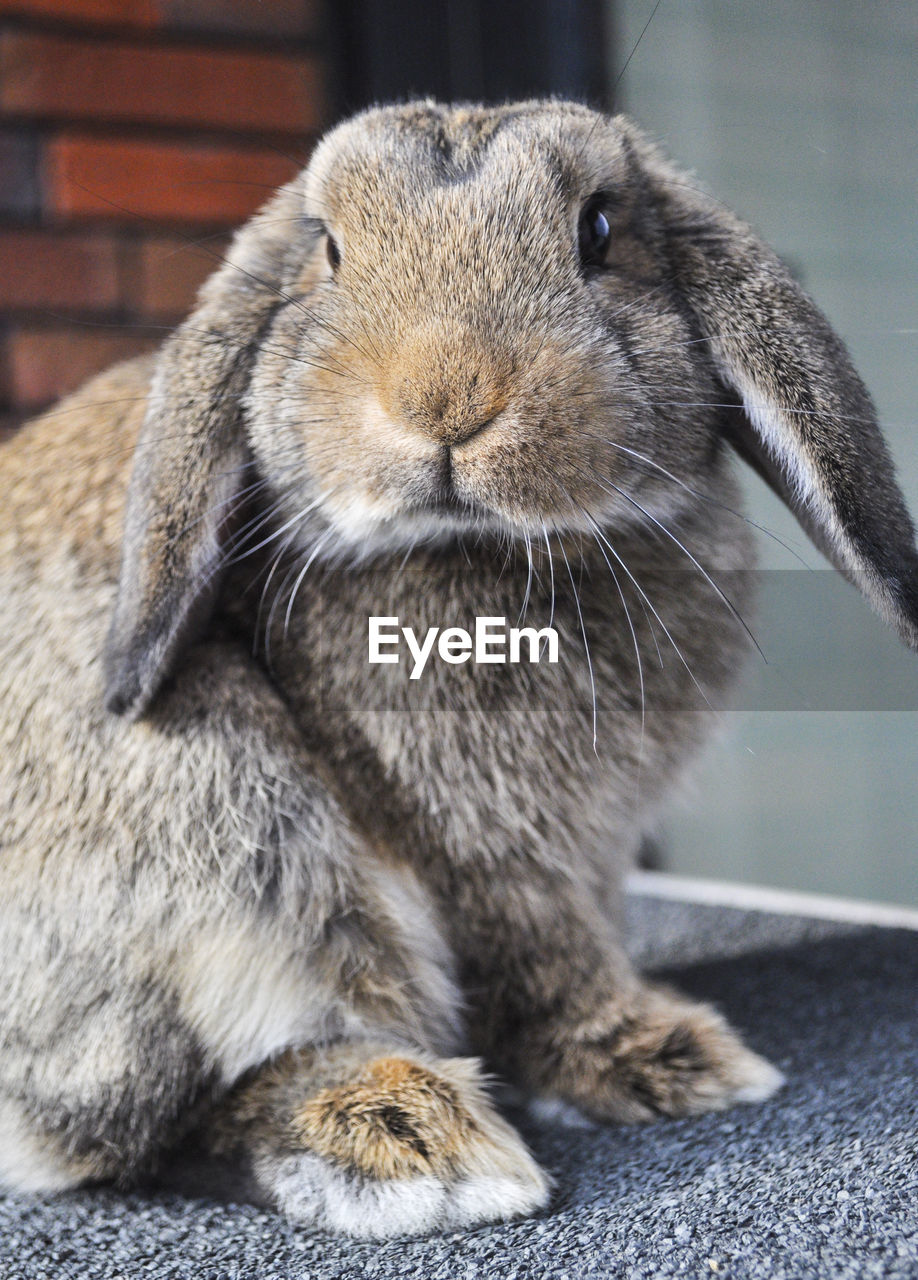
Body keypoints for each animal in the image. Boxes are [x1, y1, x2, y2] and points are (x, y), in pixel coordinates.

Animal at [1, 99, 916, 1239]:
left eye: (599, 230)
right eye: (329, 250)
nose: (445, 400)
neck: (481, 544)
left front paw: (664, 1056)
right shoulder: (490, 851)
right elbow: (544, 956)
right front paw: (652, 1058)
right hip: (218, 808)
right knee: (145, 1125)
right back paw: (404, 1134)